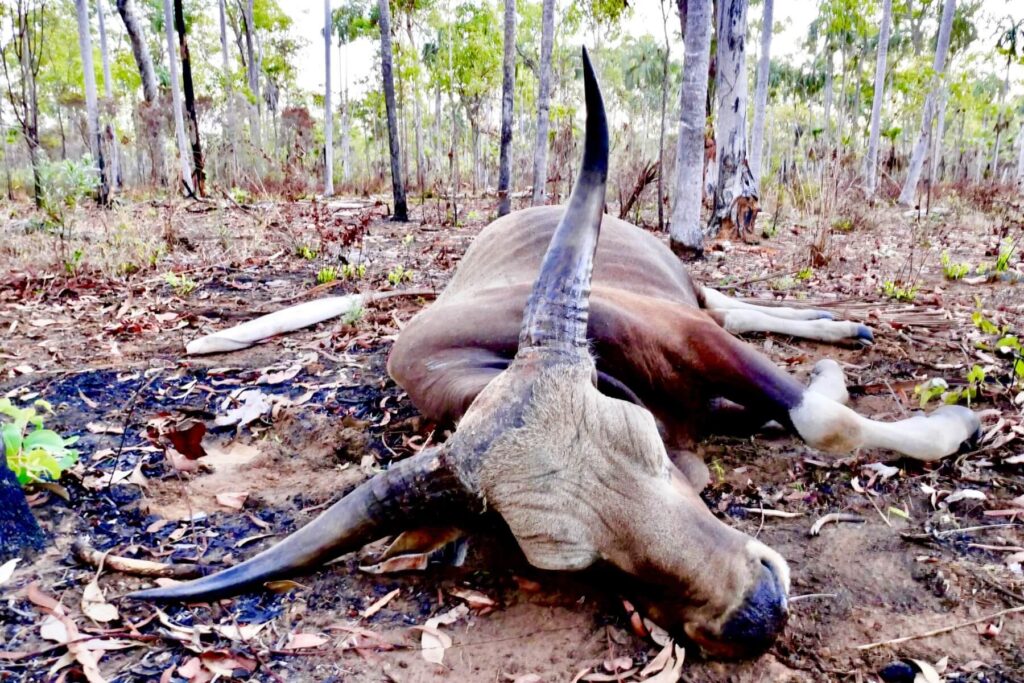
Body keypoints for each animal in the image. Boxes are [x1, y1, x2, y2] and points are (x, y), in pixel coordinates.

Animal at [130, 50, 980, 659]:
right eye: (583, 561)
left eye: (646, 453)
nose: (758, 612)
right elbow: (805, 419)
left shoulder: (698, 343)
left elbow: (820, 421)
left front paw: (947, 425)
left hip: (693, 299)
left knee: (728, 303)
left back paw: (840, 336)